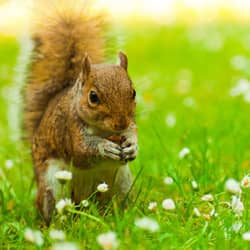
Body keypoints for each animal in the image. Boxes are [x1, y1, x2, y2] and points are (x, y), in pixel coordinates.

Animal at [23, 0, 139, 226]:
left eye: (133, 92)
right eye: (93, 97)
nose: (120, 123)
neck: (104, 131)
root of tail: (85, 201)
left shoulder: (131, 125)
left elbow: (133, 135)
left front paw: (132, 147)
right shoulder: (70, 129)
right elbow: (81, 152)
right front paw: (104, 147)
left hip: (122, 183)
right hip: (53, 185)